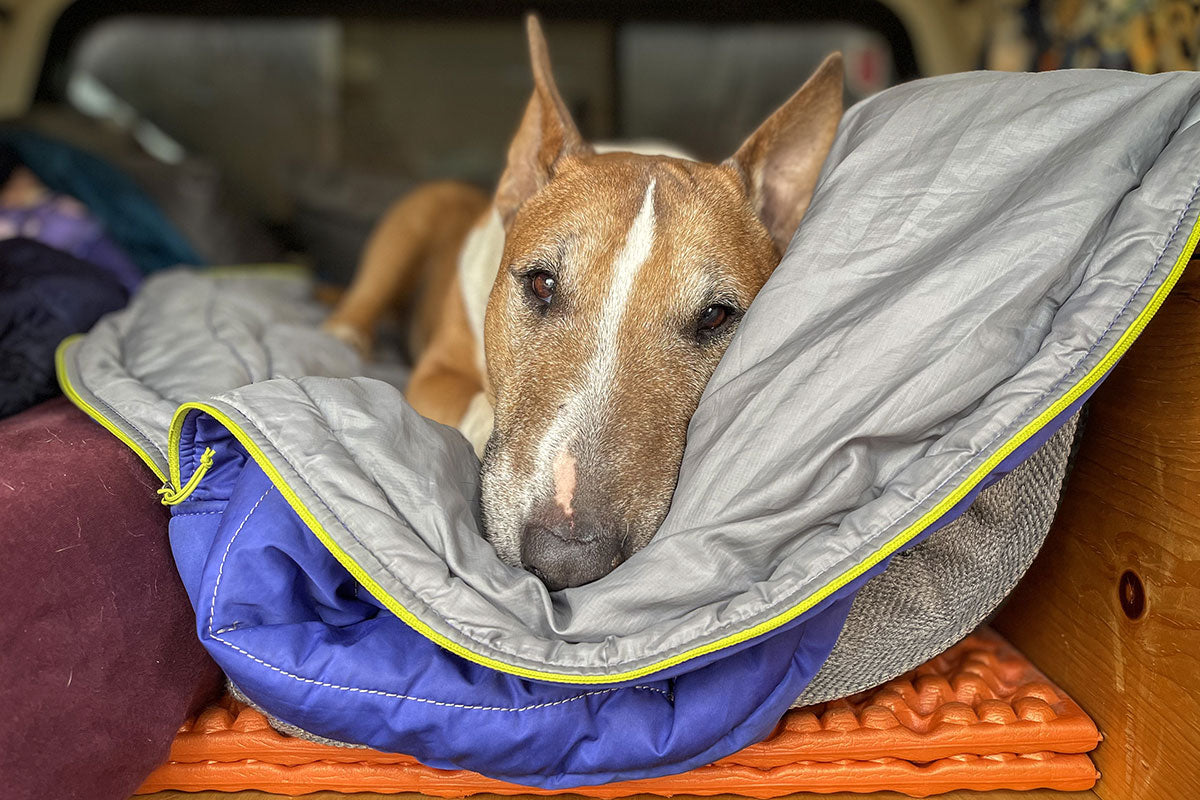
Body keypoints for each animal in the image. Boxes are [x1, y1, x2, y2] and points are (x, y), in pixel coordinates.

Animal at [324, 15, 840, 592]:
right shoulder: (436, 375)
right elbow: (477, 405)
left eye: (716, 316)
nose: (566, 558)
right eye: (541, 284)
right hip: (413, 217)